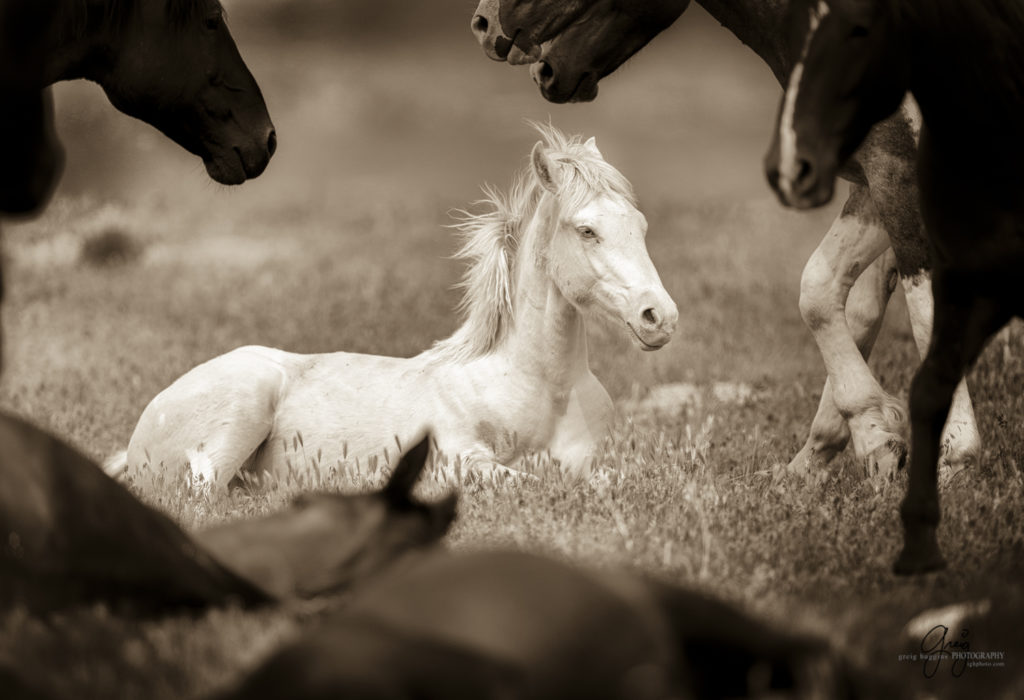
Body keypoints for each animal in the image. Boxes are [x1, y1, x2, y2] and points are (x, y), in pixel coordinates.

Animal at [105, 125, 679, 495]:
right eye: (587, 230)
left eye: (641, 225)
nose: (660, 317)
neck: (543, 390)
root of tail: (135, 441)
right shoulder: (463, 459)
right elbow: (530, 482)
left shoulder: (592, 461)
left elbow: (608, 480)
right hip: (236, 416)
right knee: (204, 494)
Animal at [471, 0, 983, 480]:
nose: (484, 25)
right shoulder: (876, 179)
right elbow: (826, 293)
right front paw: (854, 446)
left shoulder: (896, 165)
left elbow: (922, 303)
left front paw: (955, 454)